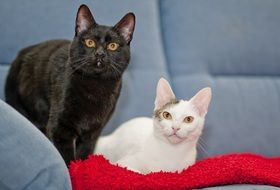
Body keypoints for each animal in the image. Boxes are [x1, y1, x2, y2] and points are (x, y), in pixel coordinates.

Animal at [4, 4, 136, 165]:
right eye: (90, 42)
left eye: (112, 46)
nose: (99, 54)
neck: (95, 89)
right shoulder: (60, 129)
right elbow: (67, 158)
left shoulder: (92, 134)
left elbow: (83, 155)